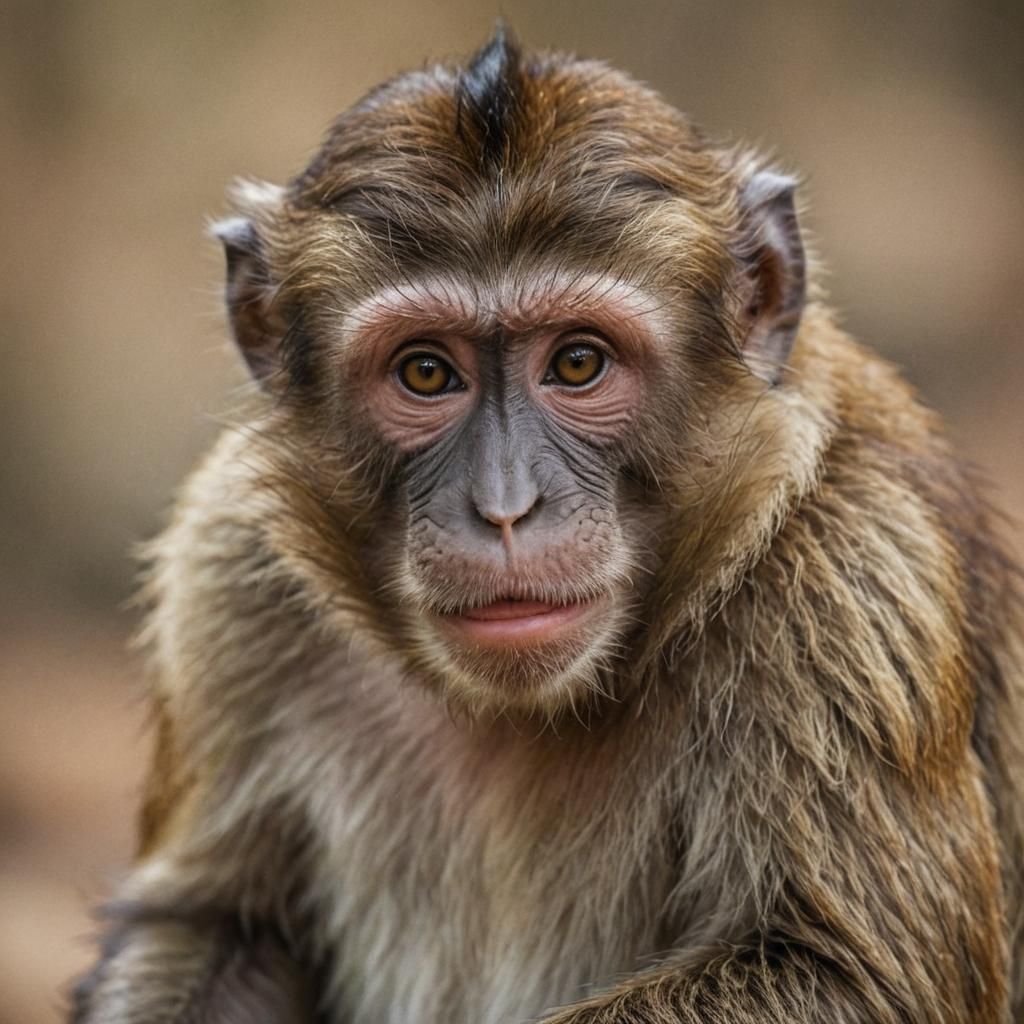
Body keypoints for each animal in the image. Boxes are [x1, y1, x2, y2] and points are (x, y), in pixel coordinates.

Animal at [68, 26, 1024, 1024]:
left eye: (577, 363)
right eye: (425, 373)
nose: (504, 506)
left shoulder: (852, 580)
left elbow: (851, 976)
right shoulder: (226, 567)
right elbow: (214, 924)